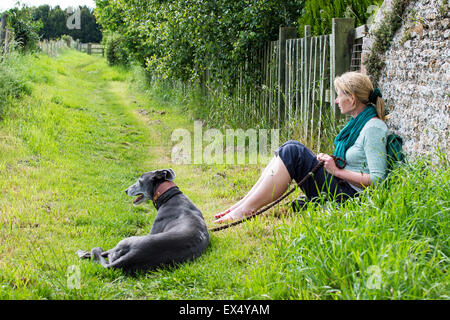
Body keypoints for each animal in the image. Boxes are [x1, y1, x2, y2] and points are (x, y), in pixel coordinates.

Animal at [77, 168, 209, 276]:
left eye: (139, 181)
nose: (125, 190)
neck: (171, 196)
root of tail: (134, 254)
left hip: (124, 242)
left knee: (101, 253)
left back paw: (82, 253)